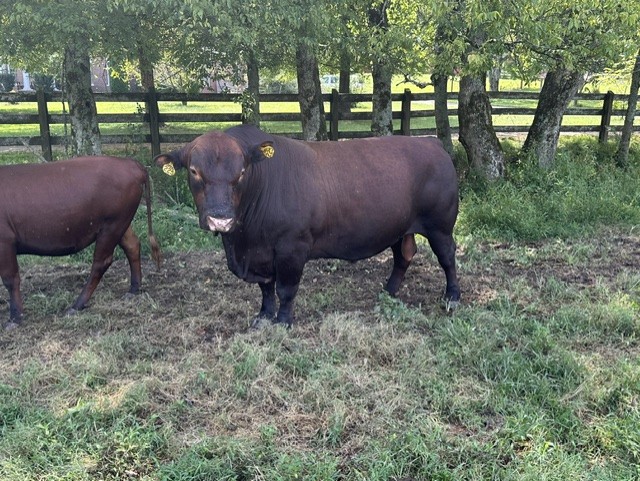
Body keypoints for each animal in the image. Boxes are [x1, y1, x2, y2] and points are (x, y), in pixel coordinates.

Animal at [0, 156, 162, 328]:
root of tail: (131, 163)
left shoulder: (5, 241)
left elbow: (10, 279)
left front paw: (14, 318)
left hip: (112, 225)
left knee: (101, 262)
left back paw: (77, 305)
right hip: (121, 224)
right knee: (132, 245)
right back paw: (133, 289)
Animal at [155, 124, 459, 327]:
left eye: (241, 172)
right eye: (194, 171)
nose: (221, 218)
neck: (244, 241)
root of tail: (431, 143)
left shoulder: (292, 246)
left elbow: (286, 288)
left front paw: (283, 321)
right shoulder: (260, 253)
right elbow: (266, 287)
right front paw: (264, 316)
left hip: (440, 225)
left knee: (447, 257)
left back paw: (452, 297)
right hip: (399, 226)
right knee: (403, 255)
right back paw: (388, 291)